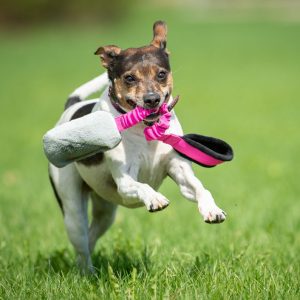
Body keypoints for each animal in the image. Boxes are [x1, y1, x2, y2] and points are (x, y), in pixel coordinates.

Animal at [49, 19, 226, 270]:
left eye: (161, 74)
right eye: (129, 78)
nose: (152, 99)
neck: (145, 131)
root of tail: (70, 108)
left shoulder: (179, 169)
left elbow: (199, 187)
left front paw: (211, 209)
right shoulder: (125, 182)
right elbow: (141, 186)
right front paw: (154, 198)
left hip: (105, 211)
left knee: (91, 237)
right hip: (72, 207)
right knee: (81, 242)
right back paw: (87, 272)